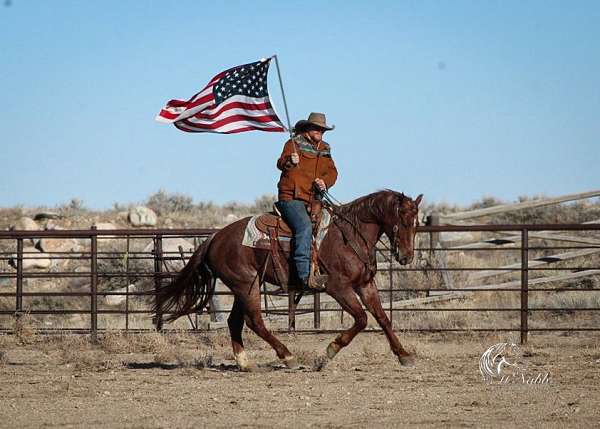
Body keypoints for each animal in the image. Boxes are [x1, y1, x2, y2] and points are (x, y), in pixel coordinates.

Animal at [156, 189, 426, 370]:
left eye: (416, 224)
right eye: (402, 221)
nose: (406, 256)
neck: (349, 235)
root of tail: (214, 237)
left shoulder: (365, 284)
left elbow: (383, 318)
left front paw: (404, 355)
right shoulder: (338, 287)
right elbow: (361, 319)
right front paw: (327, 354)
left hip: (245, 286)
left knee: (235, 322)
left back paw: (245, 363)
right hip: (246, 286)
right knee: (255, 322)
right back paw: (288, 357)